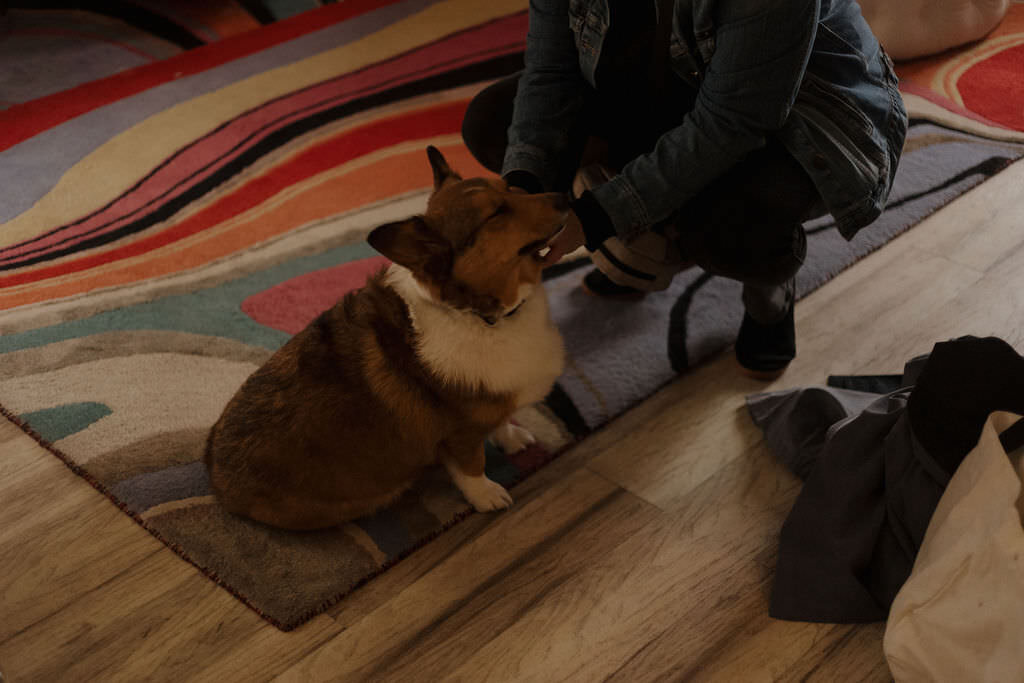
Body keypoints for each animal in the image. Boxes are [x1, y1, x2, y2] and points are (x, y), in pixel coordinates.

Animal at [201, 147, 569, 532]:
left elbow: (501, 422)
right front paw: (488, 496)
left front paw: (511, 439)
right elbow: (472, 468)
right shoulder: (460, 434)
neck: (479, 315)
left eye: (510, 187)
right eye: (496, 213)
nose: (565, 196)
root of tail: (216, 476)